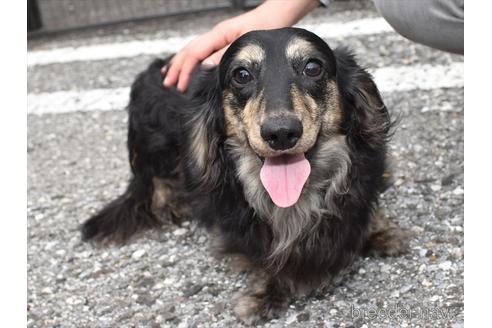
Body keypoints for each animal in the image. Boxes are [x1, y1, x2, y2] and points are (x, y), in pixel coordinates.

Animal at [83, 27, 408, 322]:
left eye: (313, 67)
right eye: (241, 74)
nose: (281, 133)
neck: (295, 201)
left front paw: (379, 232)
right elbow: (265, 257)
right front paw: (269, 292)